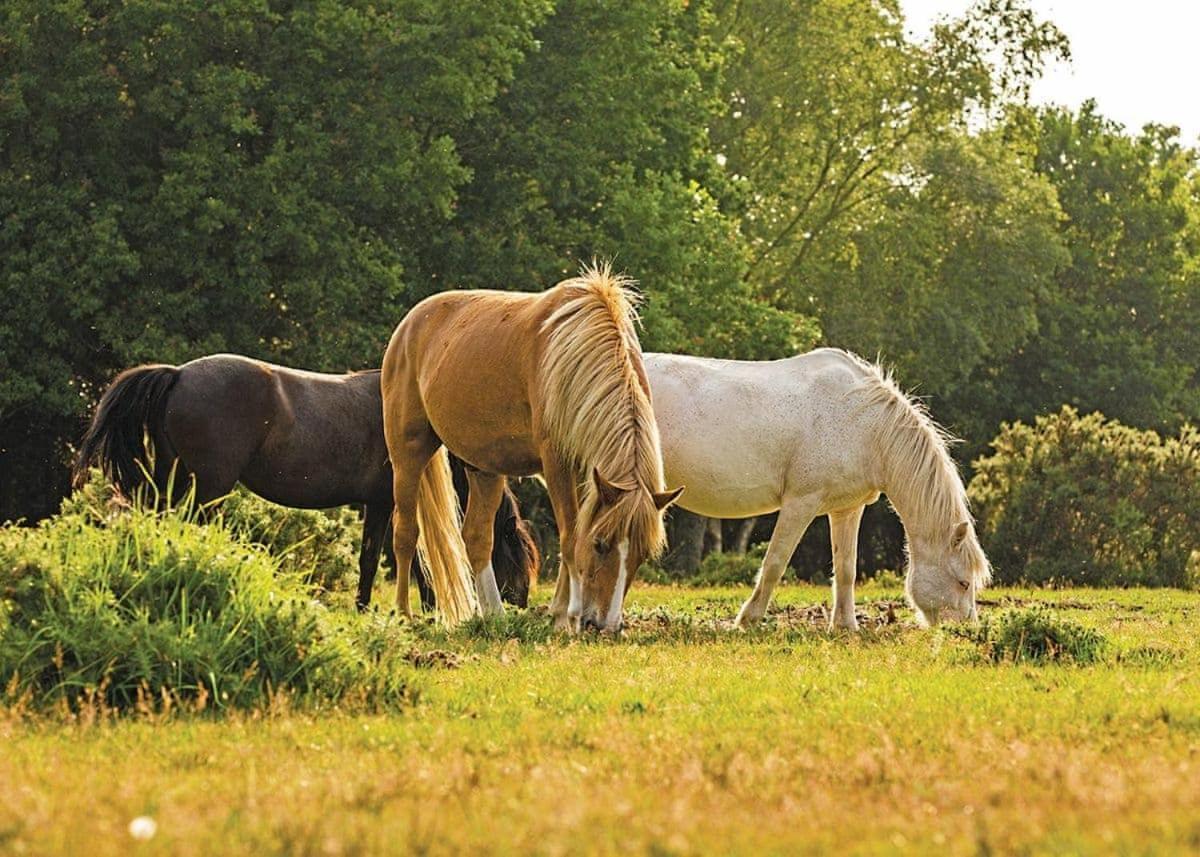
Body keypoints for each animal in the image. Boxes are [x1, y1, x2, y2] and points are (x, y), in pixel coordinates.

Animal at [76, 352, 540, 607]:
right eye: (516, 557)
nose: (520, 602)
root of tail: (177, 375)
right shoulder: (382, 502)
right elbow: (383, 558)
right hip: (205, 490)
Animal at [384, 261, 686, 628]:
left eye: (641, 555)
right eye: (601, 544)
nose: (606, 625)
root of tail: (409, 324)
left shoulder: (586, 470)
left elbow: (572, 532)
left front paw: (559, 612)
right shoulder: (556, 463)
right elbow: (571, 537)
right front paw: (569, 615)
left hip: (484, 469)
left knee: (477, 537)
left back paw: (494, 615)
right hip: (407, 454)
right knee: (405, 534)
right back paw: (403, 612)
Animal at [643, 348, 988, 628]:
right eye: (963, 583)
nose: (965, 630)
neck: (866, 425)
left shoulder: (847, 509)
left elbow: (846, 569)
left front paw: (846, 626)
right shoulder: (800, 503)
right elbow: (775, 562)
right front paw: (749, 619)